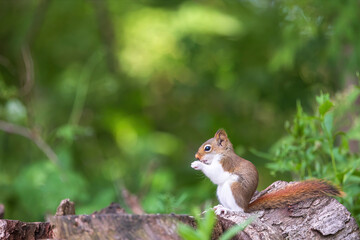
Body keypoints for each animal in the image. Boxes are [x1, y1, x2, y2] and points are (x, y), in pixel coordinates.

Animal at [190, 129, 342, 214]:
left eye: (207, 148)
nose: (196, 156)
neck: (223, 153)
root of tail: (246, 205)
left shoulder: (225, 164)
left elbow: (215, 173)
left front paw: (197, 164)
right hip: (221, 191)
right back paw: (217, 207)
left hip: (233, 187)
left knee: (239, 211)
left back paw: (226, 209)